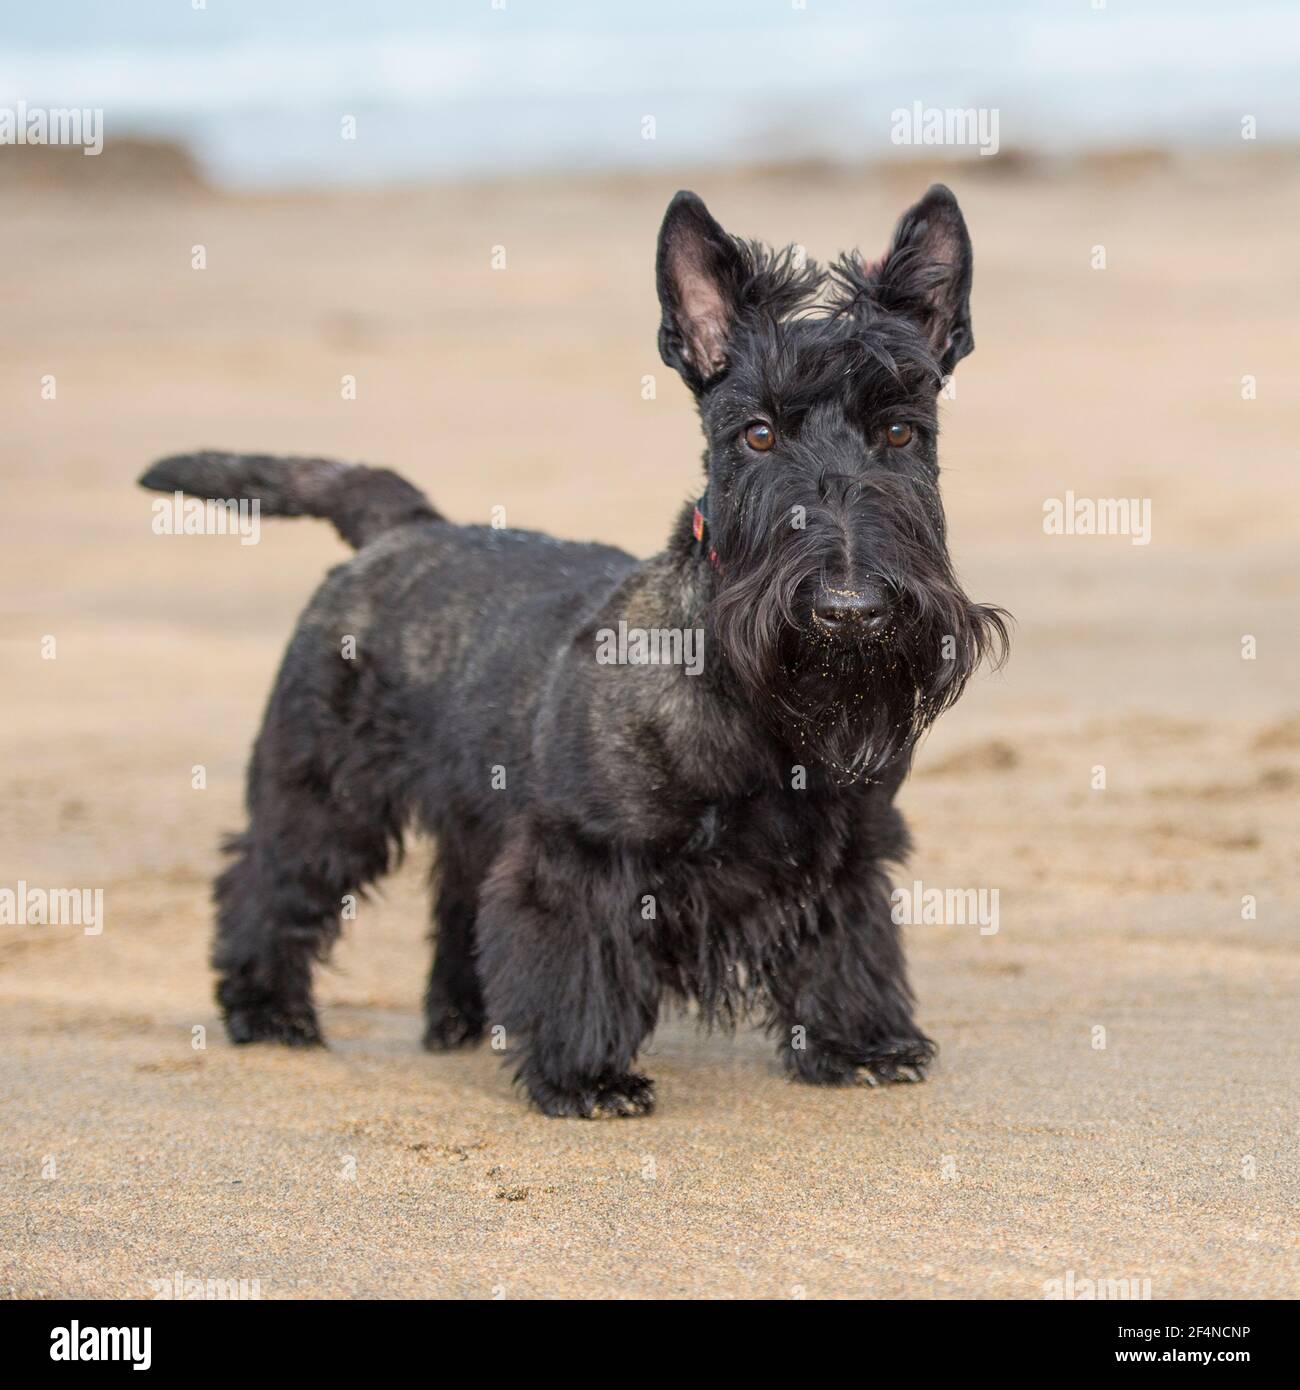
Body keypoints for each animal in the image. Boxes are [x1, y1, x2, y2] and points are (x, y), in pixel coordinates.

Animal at [144, 187, 1017, 1117]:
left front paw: (860, 1043)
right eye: (756, 435)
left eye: (901, 432)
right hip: (321, 795)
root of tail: (399, 528)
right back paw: (269, 1011)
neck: (760, 711)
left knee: (455, 902)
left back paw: (462, 1019)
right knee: (267, 880)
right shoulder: (584, 852)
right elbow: (582, 956)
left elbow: (846, 947)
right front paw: (586, 1075)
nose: (849, 612)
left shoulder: (849, 849)